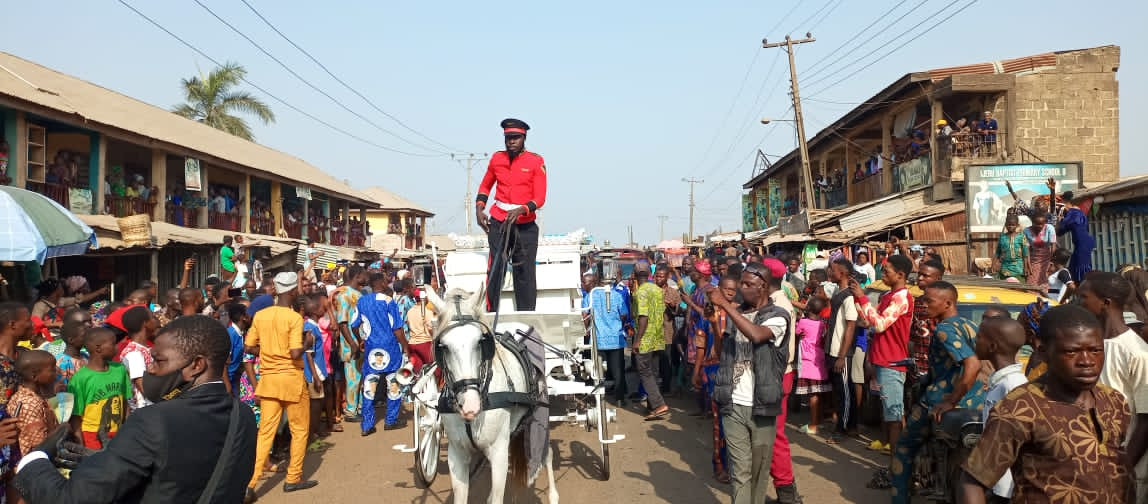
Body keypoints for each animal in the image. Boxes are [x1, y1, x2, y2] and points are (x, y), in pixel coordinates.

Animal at [427, 288, 560, 504]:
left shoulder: (498, 453)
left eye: (480, 342)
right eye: (443, 346)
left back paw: (553, 495)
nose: (470, 405)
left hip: (540, 415)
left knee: (546, 453)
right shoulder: (457, 454)